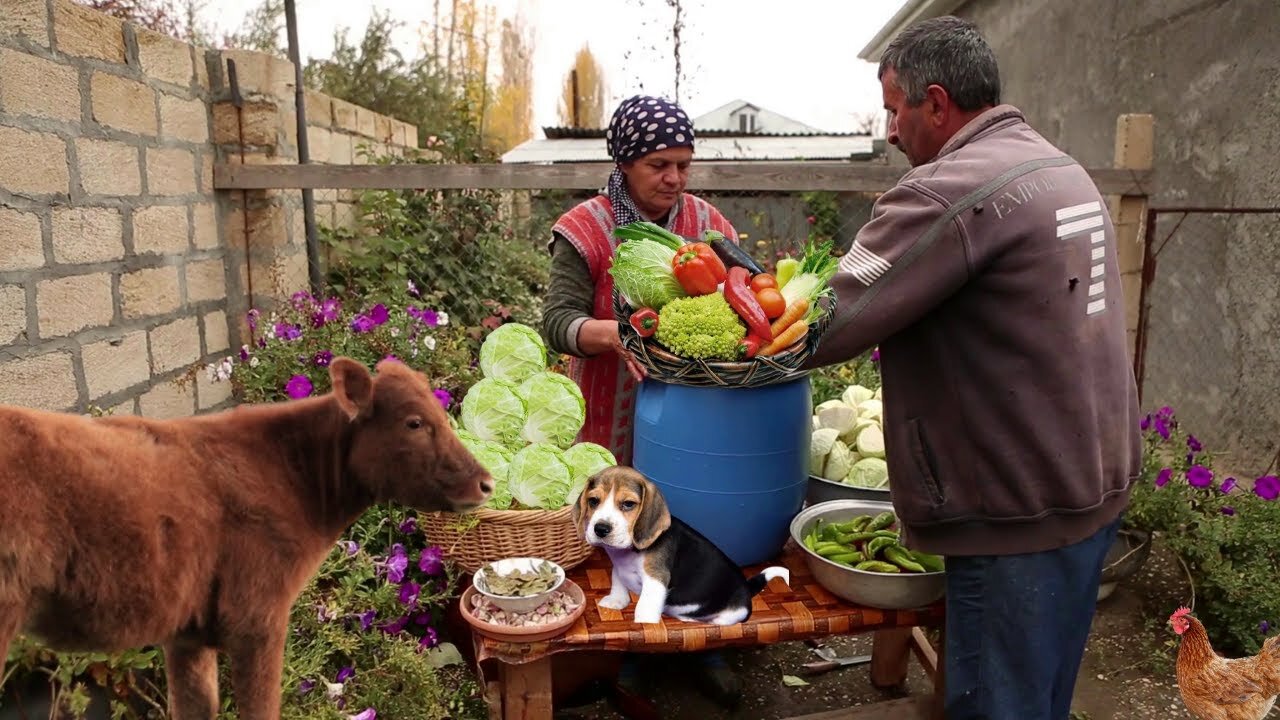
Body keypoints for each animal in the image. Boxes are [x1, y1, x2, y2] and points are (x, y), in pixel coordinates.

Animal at [573, 466, 788, 622]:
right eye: (593, 501)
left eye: (628, 504)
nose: (601, 529)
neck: (629, 552)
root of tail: (747, 588)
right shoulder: (618, 567)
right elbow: (617, 580)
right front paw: (616, 601)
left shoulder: (655, 579)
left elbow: (644, 607)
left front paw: (644, 623)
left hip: (733, 614)